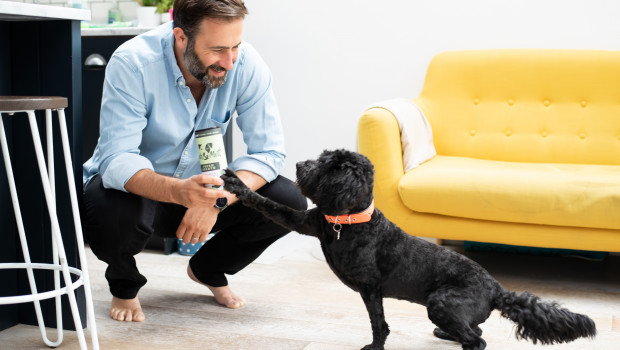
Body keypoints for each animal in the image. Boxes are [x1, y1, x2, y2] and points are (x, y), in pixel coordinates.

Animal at [222, 150, 596, 350]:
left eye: (327, 166)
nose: (301, 164)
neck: (350, 222)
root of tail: (496, 289)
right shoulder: (308, 222)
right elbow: (268, 205)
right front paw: (238, 184)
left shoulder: (371, 288)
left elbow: (378, 322)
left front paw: (375, 345)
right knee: (475, 330)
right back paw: (446, 334)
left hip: (441, 302)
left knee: (477, 340)